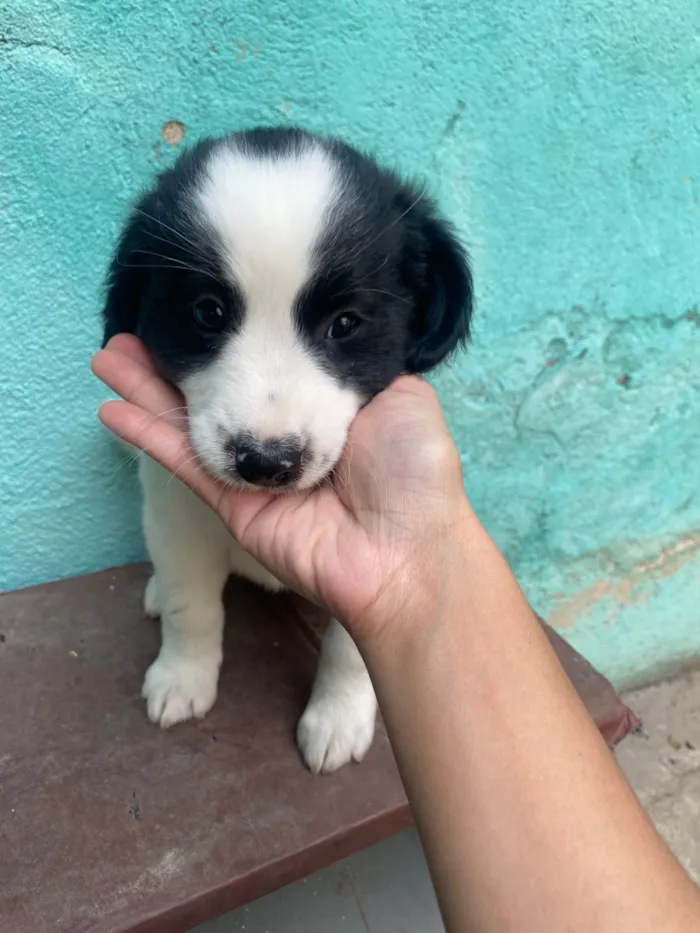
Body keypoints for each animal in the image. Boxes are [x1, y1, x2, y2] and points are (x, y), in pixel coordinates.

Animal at [102, 127, 476, 776]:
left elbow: (352, 647)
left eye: (345, 323)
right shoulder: (177, 516)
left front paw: (338, 717)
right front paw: (182, 678)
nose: (266, 462)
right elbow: (189, 605)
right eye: (207, 312)